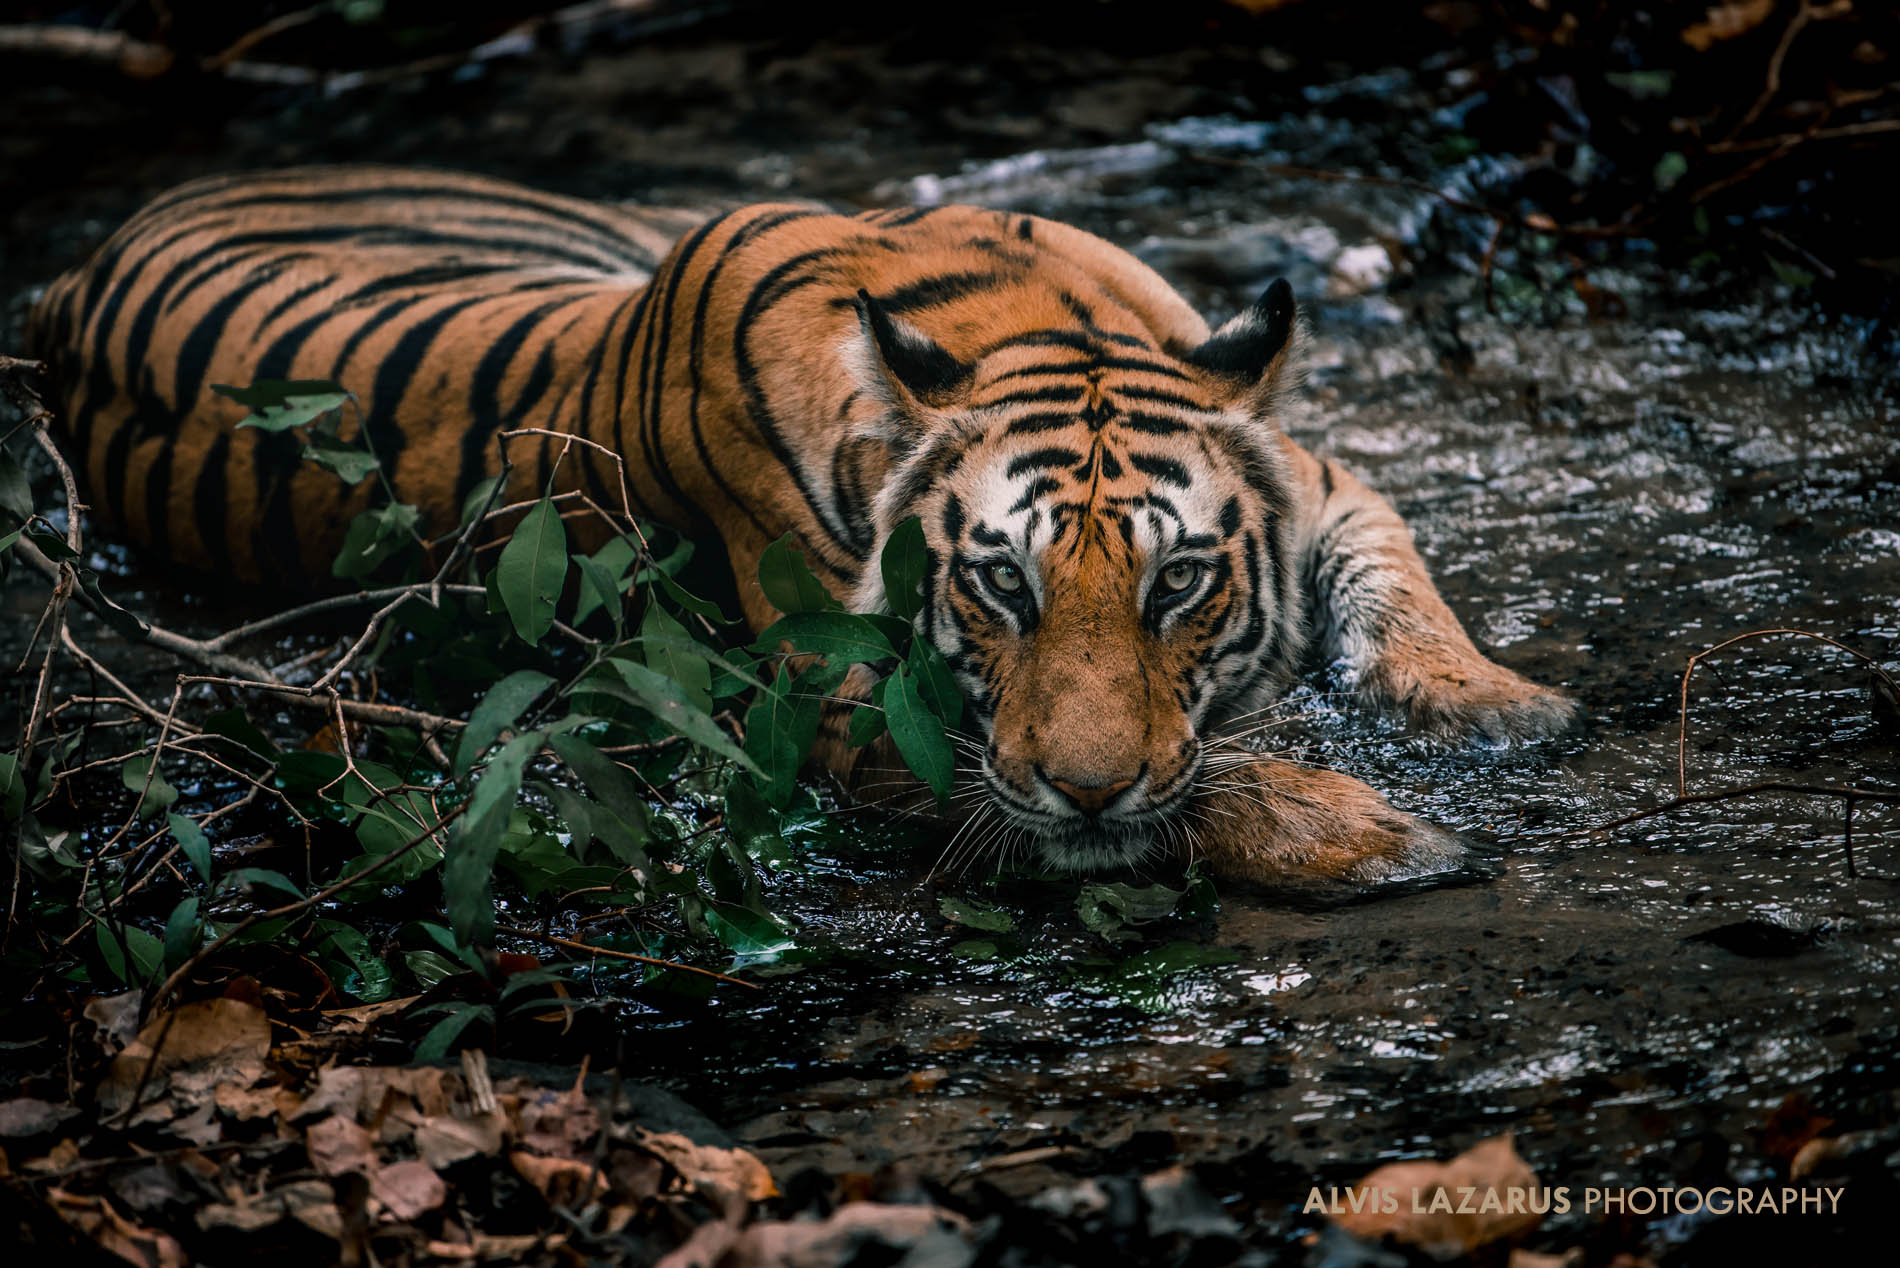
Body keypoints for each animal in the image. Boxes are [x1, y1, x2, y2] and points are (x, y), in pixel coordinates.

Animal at [28, 166, 1576, 883]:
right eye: (998, 589)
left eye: (1178, 582)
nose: (1084, 795)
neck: (1016, 321)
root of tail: (78, 275)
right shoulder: (826, 685)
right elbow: (1181, 777)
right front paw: (1372, 835)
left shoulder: (1316, 471)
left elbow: (1394, 578)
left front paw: (1495, 706)